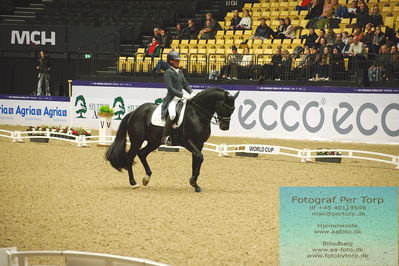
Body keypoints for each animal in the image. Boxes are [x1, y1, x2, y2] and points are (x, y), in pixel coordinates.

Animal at [104, 86, 239, 192]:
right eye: (225, 107)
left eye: (233, 109)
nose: (224, 127)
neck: (197, 114)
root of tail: (134, 112)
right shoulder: (188, 142)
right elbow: (200, 158)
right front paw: (193, 181)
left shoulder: (199, 144)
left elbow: (196, 161)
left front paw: (195, 185)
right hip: (137, 140)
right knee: (130, 157)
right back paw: (133, 183)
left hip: (154, 141)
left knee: (142, 154)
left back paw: (146, 179)